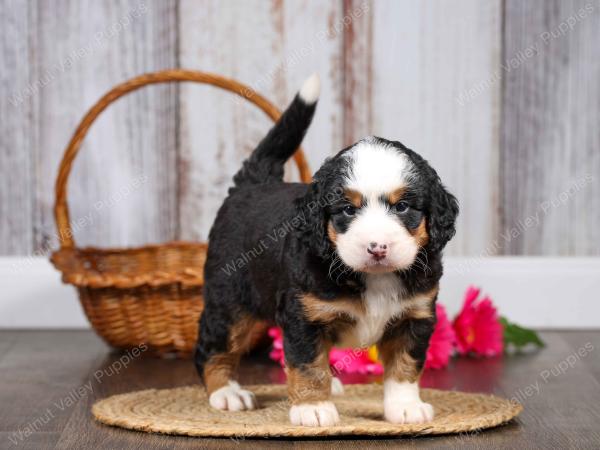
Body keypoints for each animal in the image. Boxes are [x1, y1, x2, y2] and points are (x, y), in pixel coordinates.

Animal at [195, 73, 458, 426]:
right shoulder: (304, 315)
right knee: (214, 346)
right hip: (230, 301)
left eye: (402, 206)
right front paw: (313, 408)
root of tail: (253, 185)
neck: (374, 278)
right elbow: (308, 363)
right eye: (347, 210)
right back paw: (226, 392)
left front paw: (405, 406)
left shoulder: (414, 315)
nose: (377, 247)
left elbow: (405, 365)